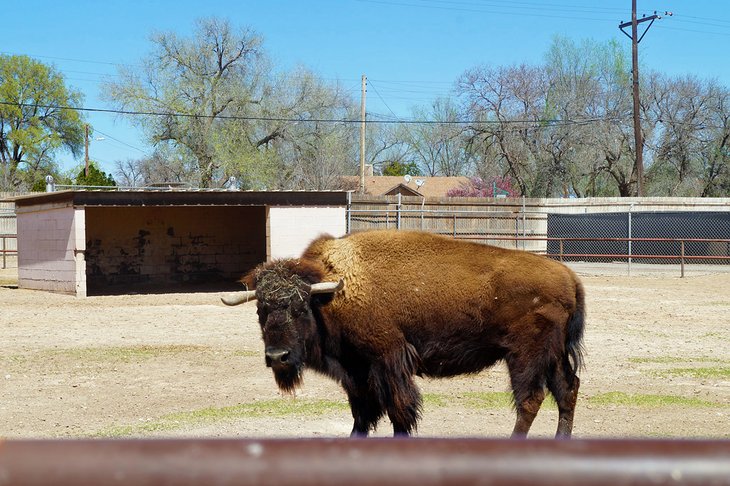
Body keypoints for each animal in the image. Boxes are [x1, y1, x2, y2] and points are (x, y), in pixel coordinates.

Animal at [222, 230, 584, 438]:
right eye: (260, 311)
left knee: (530, 399)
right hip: (552, 356)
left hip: (524, 356)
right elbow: (362, 416)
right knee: (567, 390)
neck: (331, 294)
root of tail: (568, 276)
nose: (277, 357)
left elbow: (399, 412)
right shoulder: (357, 373)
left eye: (300, 308)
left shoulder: (387, 362)